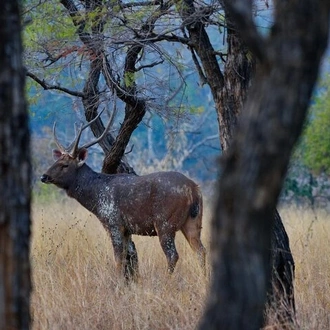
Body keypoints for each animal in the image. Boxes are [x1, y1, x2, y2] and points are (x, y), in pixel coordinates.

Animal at [41, 111, 206, 278]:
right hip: (192, 221)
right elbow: (127, 257)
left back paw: (168, 281)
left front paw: (119, 282)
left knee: (173, 255)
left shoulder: (114, 222)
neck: (96, 198)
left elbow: (118, 259)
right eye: (56, 161)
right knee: (200, 250)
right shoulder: (127, 230)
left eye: (65, 165)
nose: (44, 176)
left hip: (165, 222)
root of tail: (194, 189)